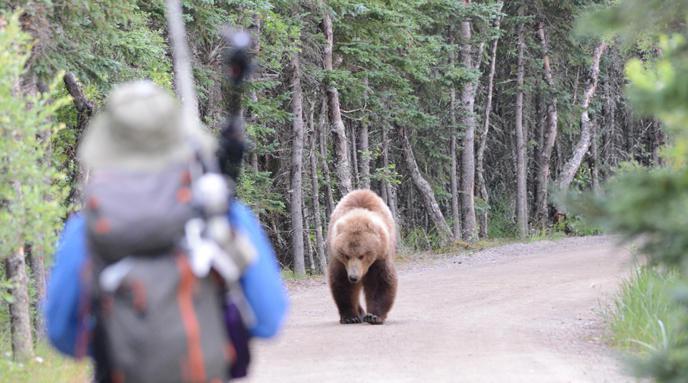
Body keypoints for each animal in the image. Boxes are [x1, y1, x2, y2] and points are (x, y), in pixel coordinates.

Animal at [328, 190, 398, 326]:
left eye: (362, 255)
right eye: (346, 255)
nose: (353, 277)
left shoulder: (380, 257)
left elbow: (379, 282)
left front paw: (374, 316)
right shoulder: (340, 262)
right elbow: (343, 283)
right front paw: (350, 317)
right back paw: (360, 312)